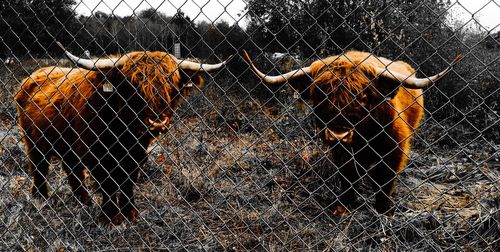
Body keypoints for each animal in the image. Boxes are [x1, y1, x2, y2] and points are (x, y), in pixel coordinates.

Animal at [15, 42, 230, 225]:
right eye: (132, 85)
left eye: (172, 83)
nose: (157, 123)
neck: (123, 132)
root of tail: (31, 77)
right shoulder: (96, 153)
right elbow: (107, 183)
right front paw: (111, 217)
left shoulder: (137, 152)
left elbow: (128, 180)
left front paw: (130, 213)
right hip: (33, 141)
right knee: (39, 167)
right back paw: (40, 198)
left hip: (67, 146)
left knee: (72, 169)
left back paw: (84, 201)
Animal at [242, 50, 460, 216]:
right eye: (319, 96)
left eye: (363, 97)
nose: (338, 135)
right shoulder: (341, 152)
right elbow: (347, 176)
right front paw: (343, 207)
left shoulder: (394, 149)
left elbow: (385, 180)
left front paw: (384, 211)